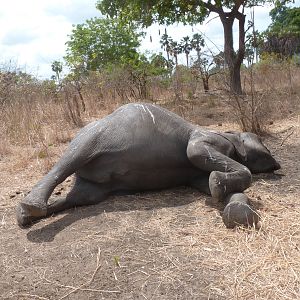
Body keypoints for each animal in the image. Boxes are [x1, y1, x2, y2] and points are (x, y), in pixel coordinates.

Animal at [16, 103, 280, 227]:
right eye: (266, 151)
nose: (277, 165)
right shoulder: (208, 138)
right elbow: (195, 152)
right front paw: (219, 183)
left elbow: (209, 185)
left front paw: (236, 212)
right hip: (93, 135)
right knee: (70, 159)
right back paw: (30, 206)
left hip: (93, 187)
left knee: (81, 197)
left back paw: (27, 216)